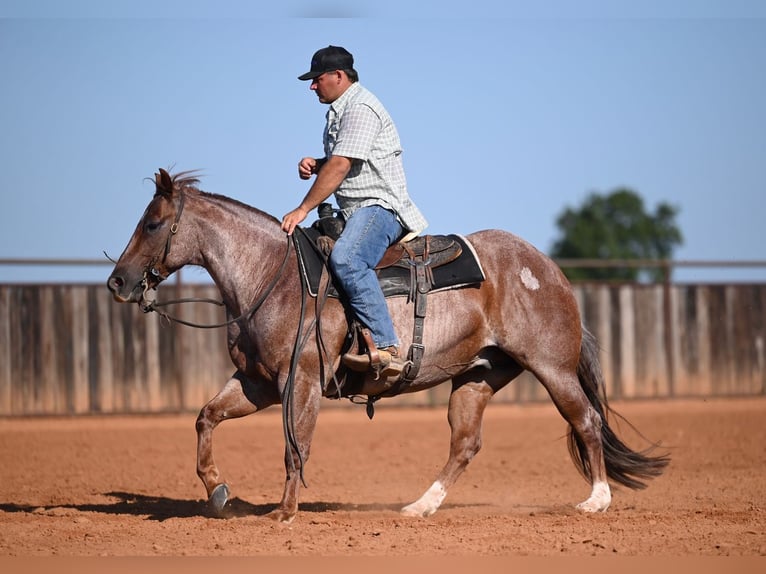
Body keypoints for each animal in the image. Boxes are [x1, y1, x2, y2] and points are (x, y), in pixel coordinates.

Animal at [107, 168, 669, 523]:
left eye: (152, 223)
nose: (118, 281)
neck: (274, 276)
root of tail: (547, 268)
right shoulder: (256, 383)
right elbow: (206, 418)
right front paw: (218, 490)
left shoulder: (300, 381)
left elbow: (295, 445)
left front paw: (285, 512)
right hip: (478, 376)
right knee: (466, 444)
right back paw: (420, 507)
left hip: (551, 367)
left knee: (586, 420)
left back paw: (596, 501)